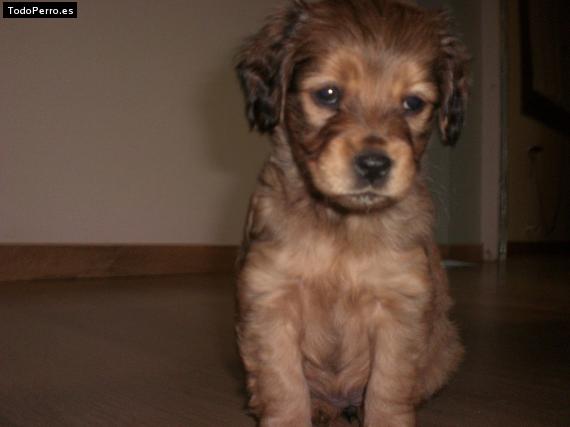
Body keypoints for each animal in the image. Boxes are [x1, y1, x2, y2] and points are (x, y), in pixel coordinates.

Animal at [235, 1, 468, 426]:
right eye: (328, 94)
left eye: (413, 103)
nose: (374, 165)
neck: (341, 227)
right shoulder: (271, 299)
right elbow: (284, 384)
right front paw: (293, 416)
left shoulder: (400, 306)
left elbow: (388, 387)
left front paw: (383, 417)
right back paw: (322, 408)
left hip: (447, 349)